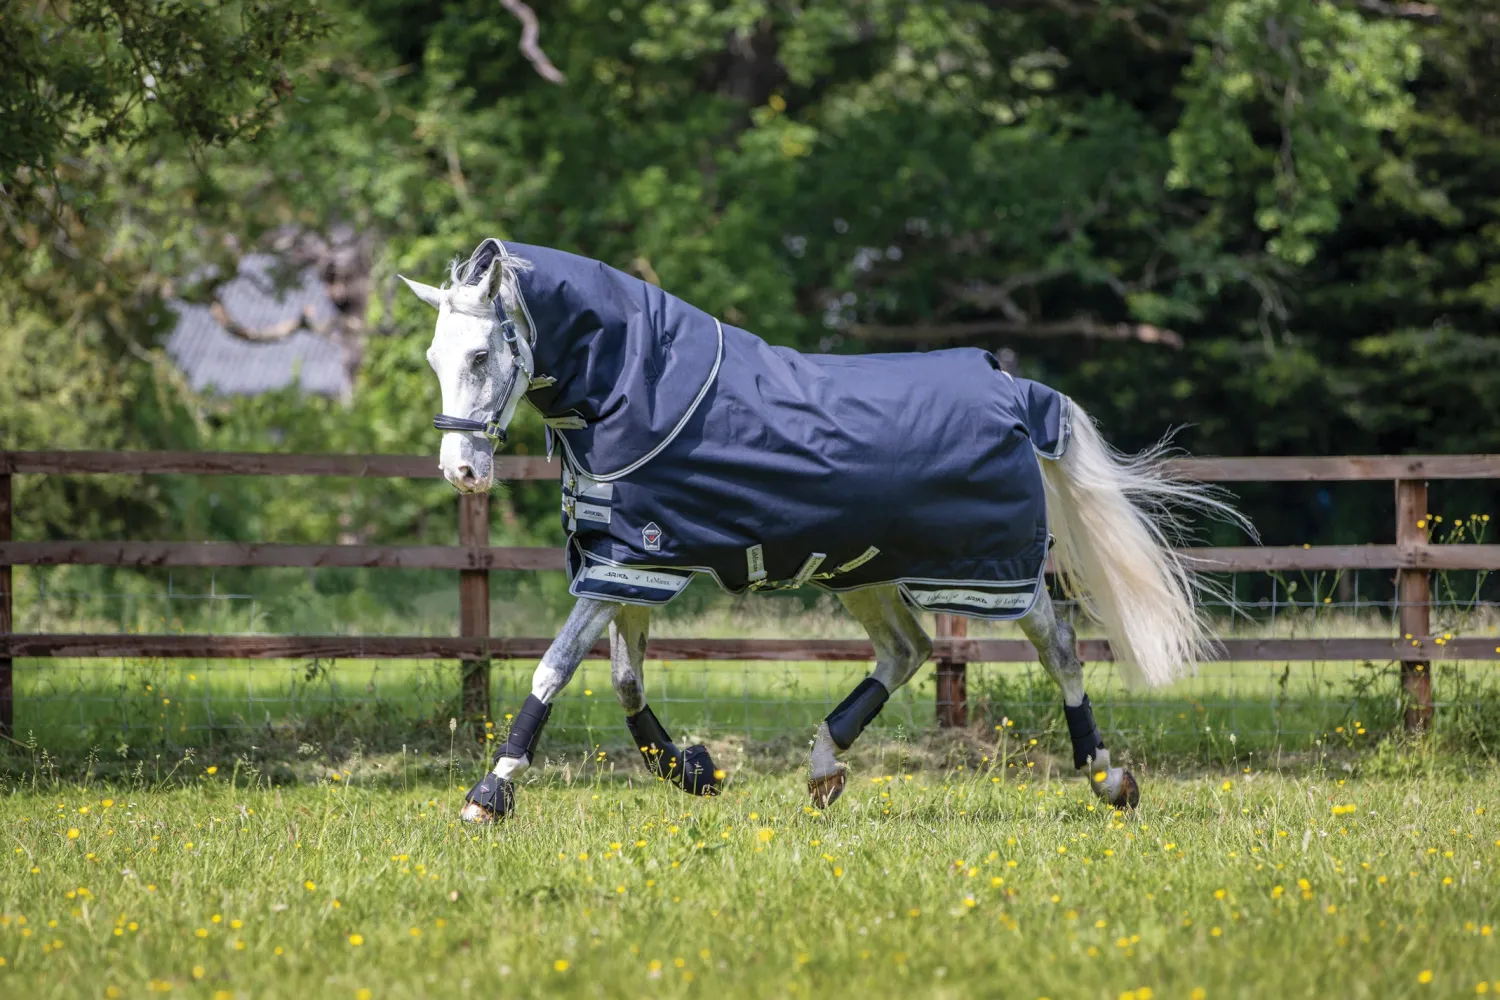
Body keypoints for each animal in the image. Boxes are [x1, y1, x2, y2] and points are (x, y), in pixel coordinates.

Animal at [399, 238, 1245, 822]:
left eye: (481, 354)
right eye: (437, 357)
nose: (462, 470)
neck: (641, 388)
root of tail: (1015, 389)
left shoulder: (633, 566)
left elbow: (553, 668)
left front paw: (489, 792)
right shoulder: (630, 563)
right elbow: (623, 678)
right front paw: (692, 771)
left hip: (986, 571)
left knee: (1058, 646)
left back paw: (1109, 778)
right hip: (863, 570)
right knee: (907, 651)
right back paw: (823, 768)